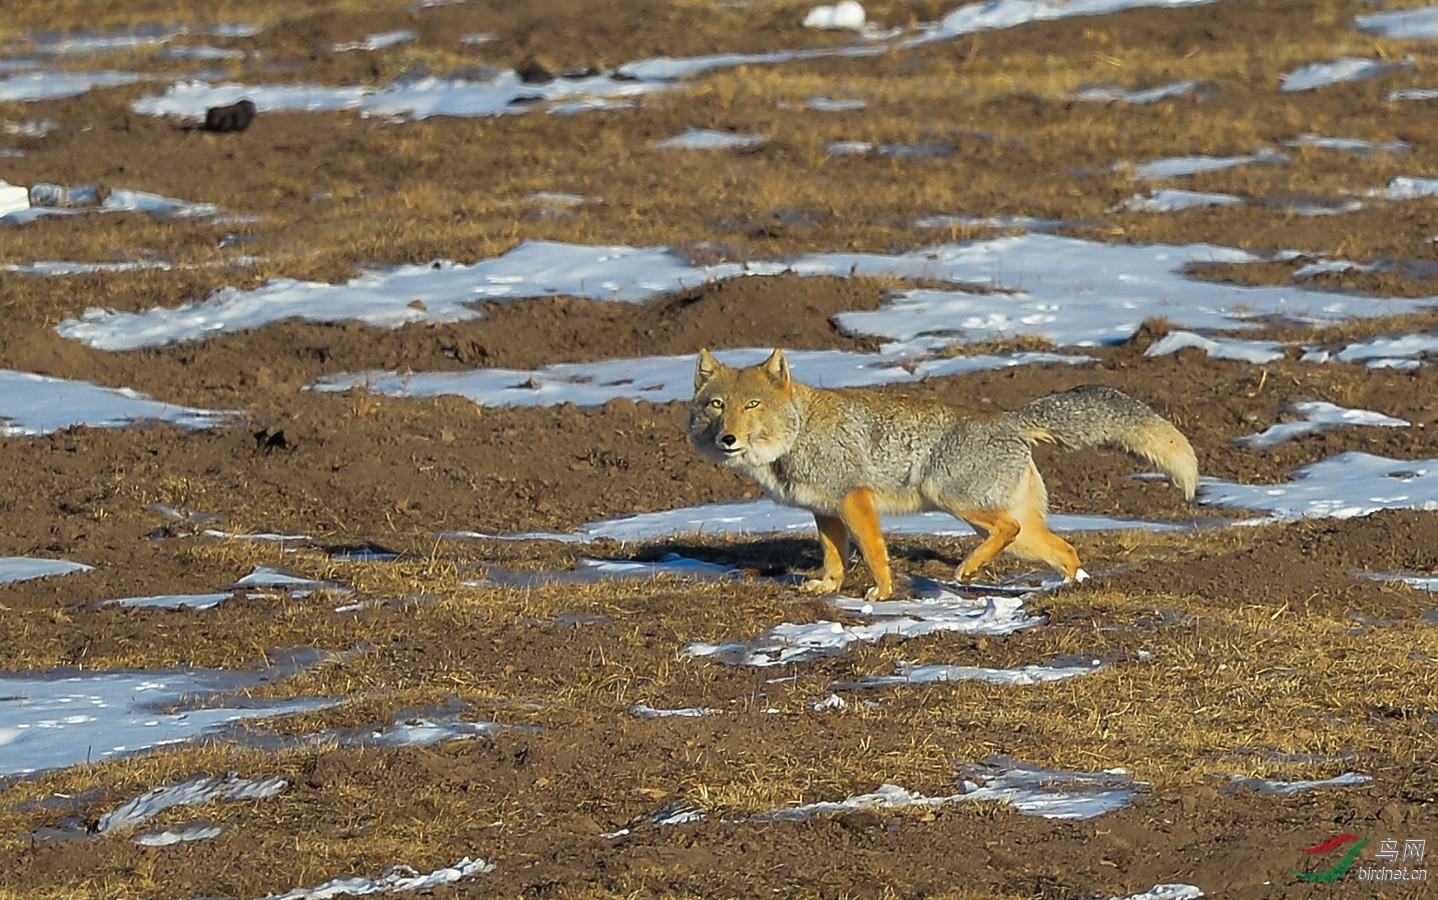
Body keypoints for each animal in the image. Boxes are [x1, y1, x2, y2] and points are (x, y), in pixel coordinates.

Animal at [690, 349, 1196, 595]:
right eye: (717, 405)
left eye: (752, 405)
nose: (727, 438)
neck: (796, 433)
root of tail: (1007, 419)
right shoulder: (826, 512)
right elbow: (834, 559)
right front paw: (826, 589)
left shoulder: (855, 499)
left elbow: (874, 553)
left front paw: (883, 594)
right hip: (1018, 532)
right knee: (1065, 550)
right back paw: (1065, 591)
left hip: (956, 501)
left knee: (1009, 529)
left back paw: (967, 569)